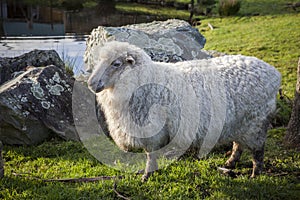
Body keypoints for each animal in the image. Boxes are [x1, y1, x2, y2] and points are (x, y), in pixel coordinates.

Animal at [87, 41, 282, 180]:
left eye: (116, 64)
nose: (91, 84)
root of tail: (273, 73)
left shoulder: (153, 132)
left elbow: (151, 155)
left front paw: (147, 175)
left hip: (255, 123)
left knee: (257, 150)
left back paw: (255, 174)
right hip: (239, 122)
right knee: (238, 144)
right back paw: (230, 163)